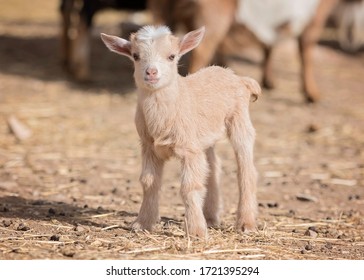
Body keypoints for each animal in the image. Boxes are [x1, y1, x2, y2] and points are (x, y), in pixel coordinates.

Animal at [101, 25, 260, 237]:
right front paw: (142, 223)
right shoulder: (149, 146)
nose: (151, 72)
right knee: (213, 167)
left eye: (171, 56)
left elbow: (190, 187)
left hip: (239, 119)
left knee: (246, 168)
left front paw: (196, 231)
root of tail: (238, 77)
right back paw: (211, 216)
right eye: (135, 56)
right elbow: (148, 182)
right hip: (205, 136)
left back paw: (246, 223)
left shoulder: (189, 149)